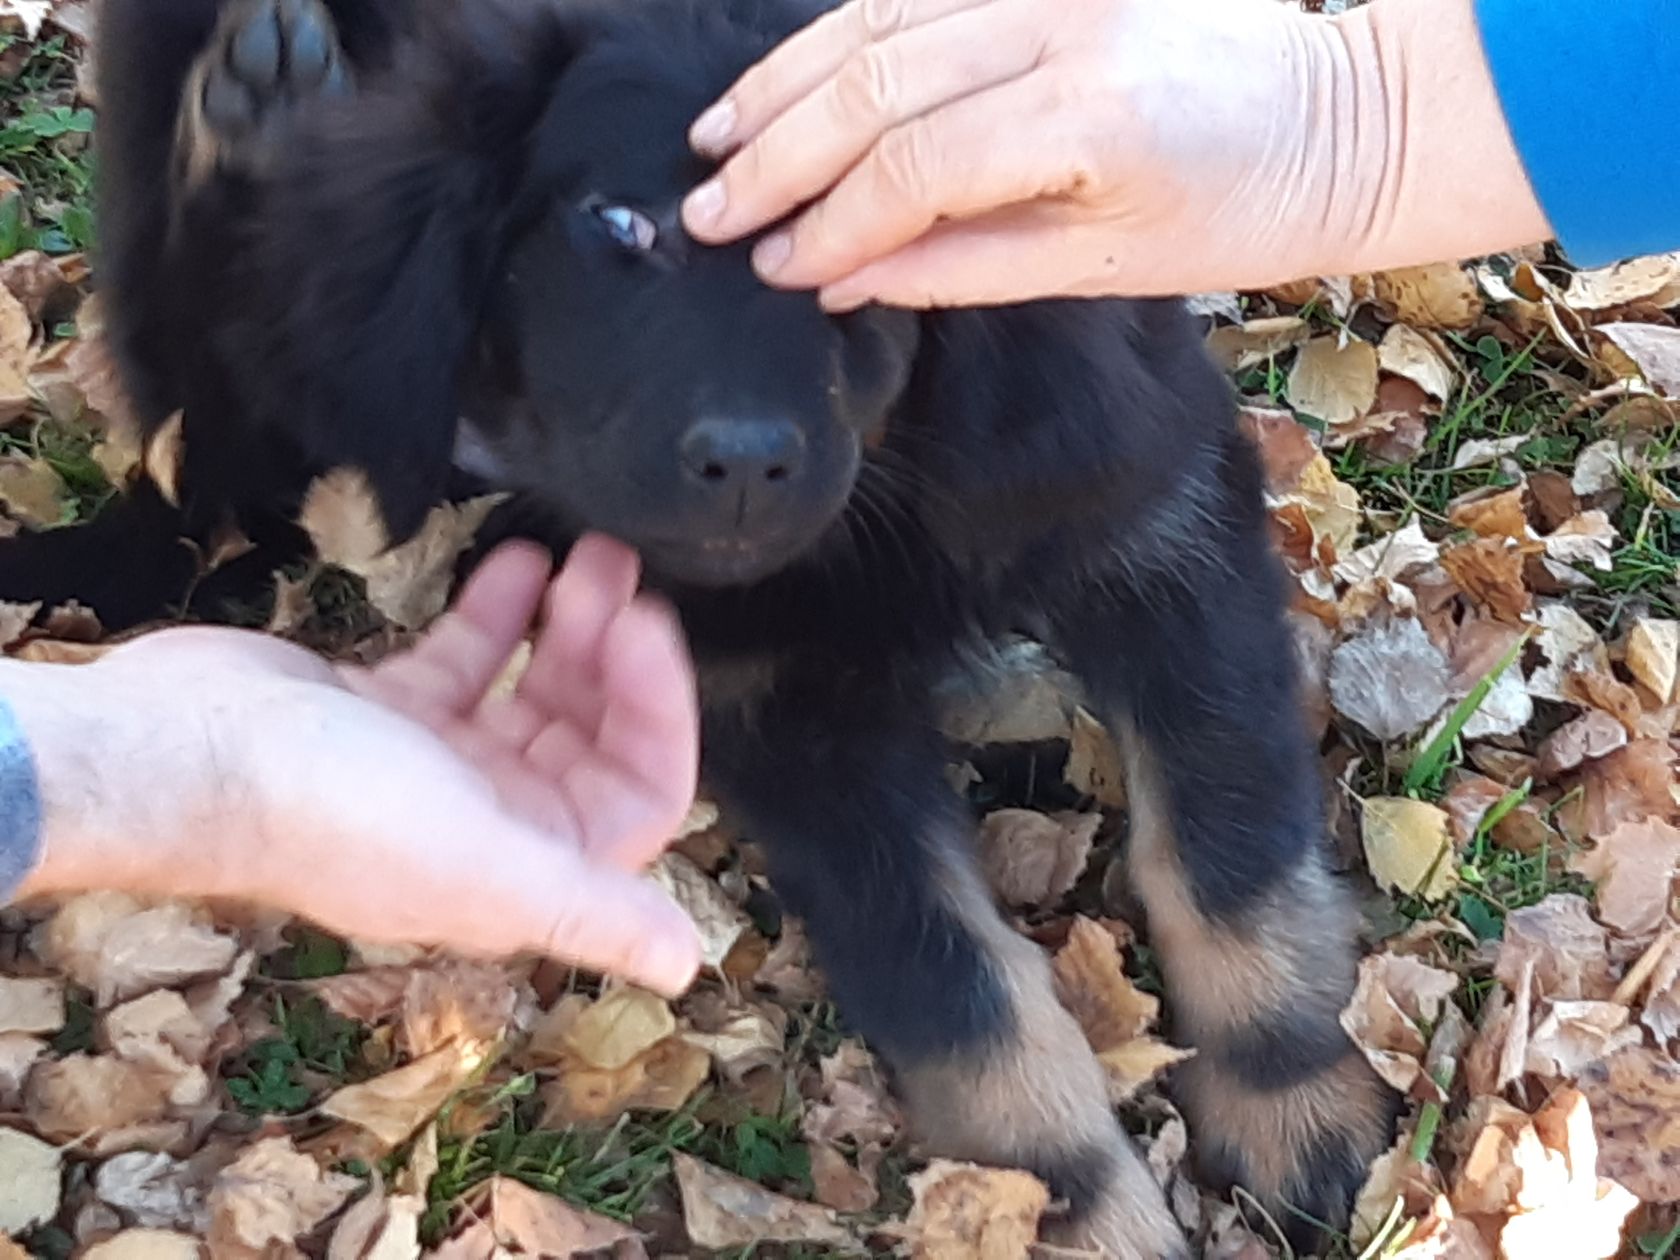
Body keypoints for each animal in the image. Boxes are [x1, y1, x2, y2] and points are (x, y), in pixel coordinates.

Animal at [1, 0, 1400, 1251]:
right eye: (624, 225)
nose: (744, 465)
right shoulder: (782, 708)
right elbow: (957, 986)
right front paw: (1075, 1204)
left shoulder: (1153, 517)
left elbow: (1225, 849)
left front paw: (1289, 1095)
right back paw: (254, 124)